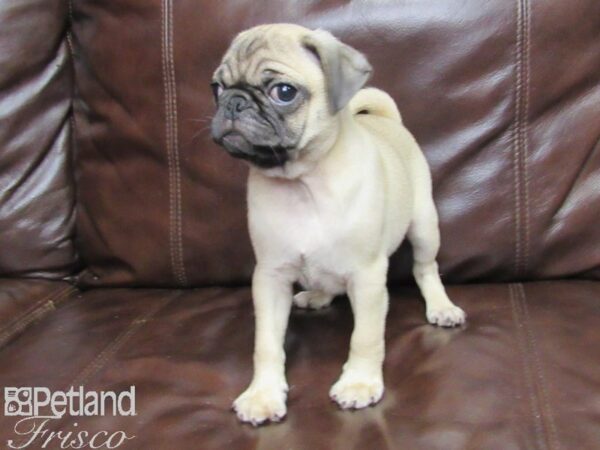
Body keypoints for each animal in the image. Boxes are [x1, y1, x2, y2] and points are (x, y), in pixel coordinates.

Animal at [210, 23, 464, 426]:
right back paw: (316, 295)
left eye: (283, 92)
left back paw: (440, 305)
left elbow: (365, 336)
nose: (234, 102)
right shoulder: (270, 278)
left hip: (425, 226)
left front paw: (359, 383)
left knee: (426, 268)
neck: (302, 182)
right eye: (216, 88)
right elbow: (266, 343)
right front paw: (263, 393)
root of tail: (387, 120)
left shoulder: (368, 277)